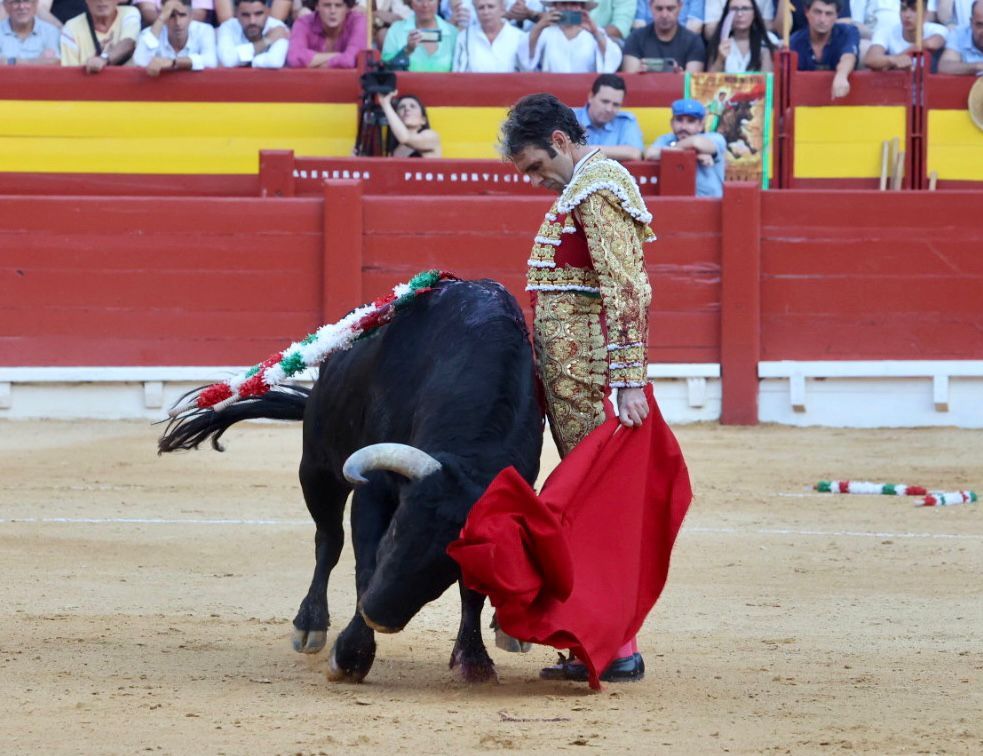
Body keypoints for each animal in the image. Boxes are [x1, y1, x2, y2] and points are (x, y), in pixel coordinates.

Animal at [161, 280, 544, 684]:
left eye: (454, 562)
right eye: (396, 529)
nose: (379, 616)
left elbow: (473, 591)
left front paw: (473, 658)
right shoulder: (373, 490)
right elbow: (366, 562)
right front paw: (350, 656)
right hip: (316, 468)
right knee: (329, 540)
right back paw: (310, 625)